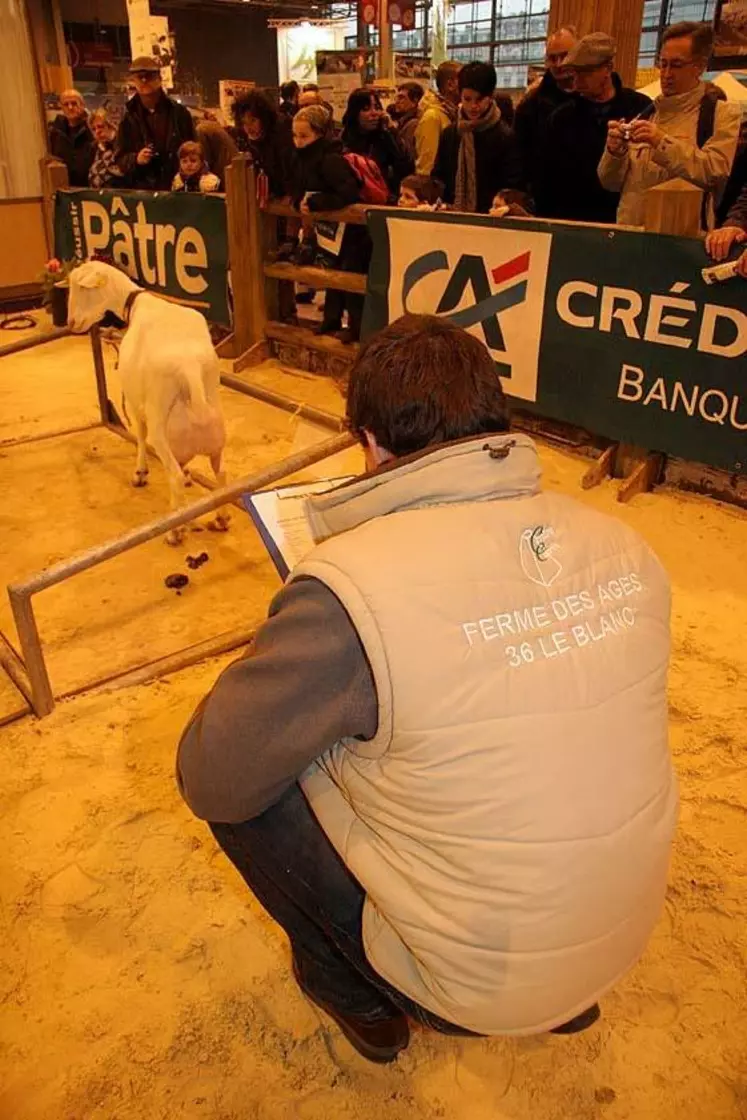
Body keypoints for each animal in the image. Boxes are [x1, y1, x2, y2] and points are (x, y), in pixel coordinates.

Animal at [69, 262, 228, 542]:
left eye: (81, 287)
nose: (71, 323)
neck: (138, 302)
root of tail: (189, 367)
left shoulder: (133, 399)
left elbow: (140, 436)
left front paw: (140, 473)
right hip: (215, 433)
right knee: (220, 473)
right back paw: (220, 518)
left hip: (160, 425)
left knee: (173, 474)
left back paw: (174, 531)